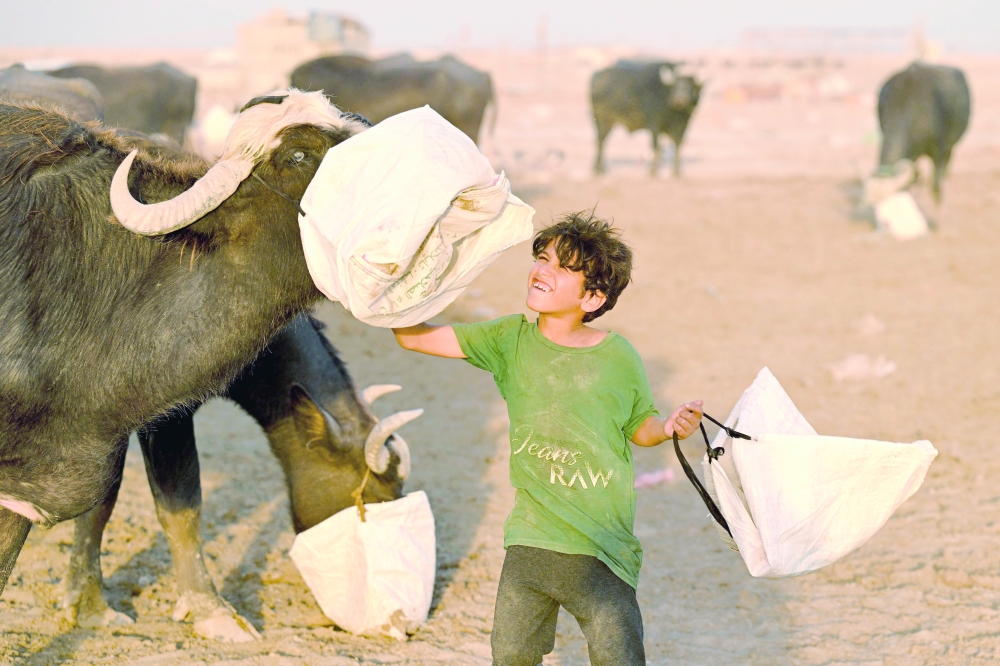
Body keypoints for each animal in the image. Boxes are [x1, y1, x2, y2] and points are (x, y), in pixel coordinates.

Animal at [65, 314, 417, 641]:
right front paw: (214, 612)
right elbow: (180, 505)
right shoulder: (165, 416)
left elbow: (100, 502)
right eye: (373, 501)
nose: (404, 621)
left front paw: (88, 607)